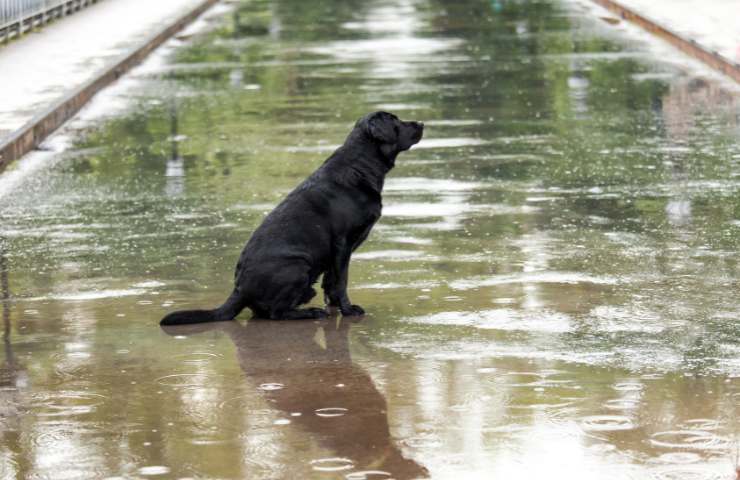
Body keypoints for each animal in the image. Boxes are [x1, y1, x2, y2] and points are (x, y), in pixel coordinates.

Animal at [160, 110, 422, 324]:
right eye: (396, 121)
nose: (421, 123)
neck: (360, 165)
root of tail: (239, 290)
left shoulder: (336, 251)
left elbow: (331, 283)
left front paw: (336, 308)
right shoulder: (342, 244)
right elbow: (341, 281)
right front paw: (348, 311)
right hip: (297, 266)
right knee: (276, 313)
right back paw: (309, 313)